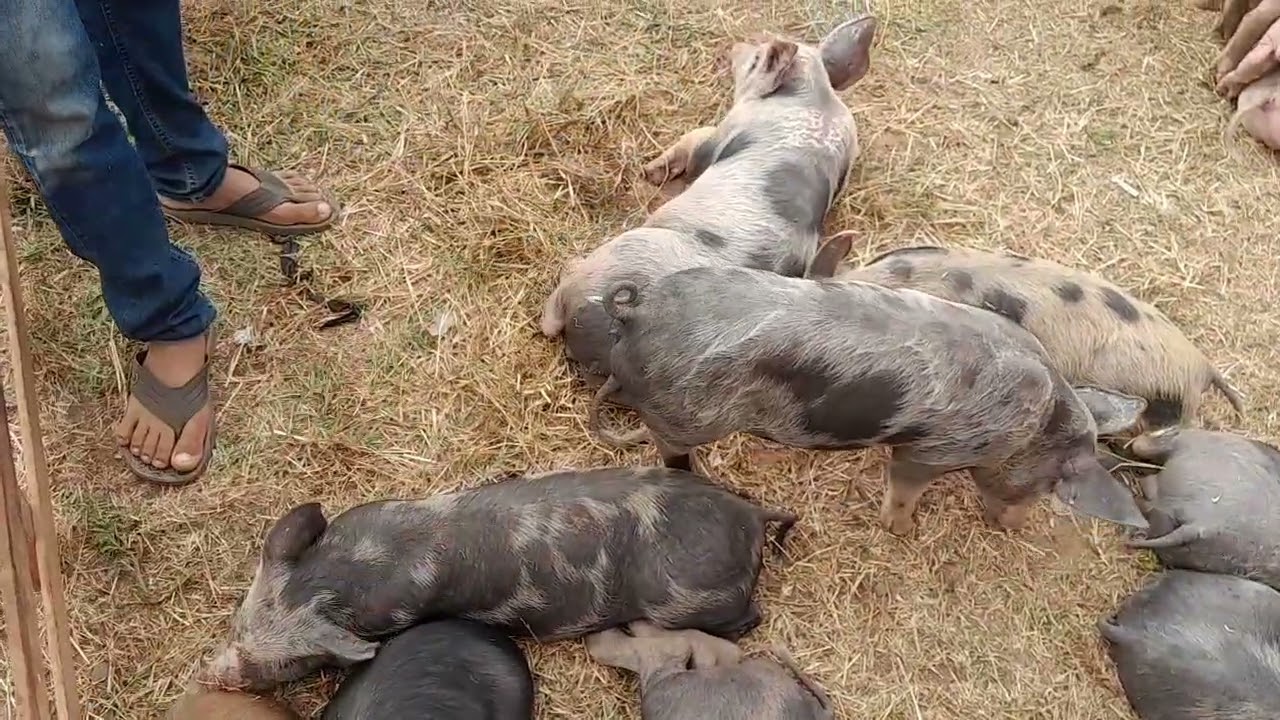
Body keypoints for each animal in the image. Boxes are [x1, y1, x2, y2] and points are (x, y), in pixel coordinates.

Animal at [196, 467, 797, 691]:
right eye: (235, 625)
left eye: (287, 664)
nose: (212, 675)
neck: (348, 572)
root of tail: (750, 515)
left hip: (688, 601)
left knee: (751, 615)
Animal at [539, 16, 878, 385]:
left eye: (756, 59)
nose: (736, 45)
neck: (816, 97)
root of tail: (628, 325)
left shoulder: (723, 130)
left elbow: (695, 140)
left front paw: (650, 172)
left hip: (622, 250)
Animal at [589, 263, 1150, 536]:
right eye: (1049, 486)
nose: (1013, 529)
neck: (1031, 426)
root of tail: (640, 309)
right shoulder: (929, 451)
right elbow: (904, 487)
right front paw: (902, 532)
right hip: (683, 414)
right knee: (672, 454)